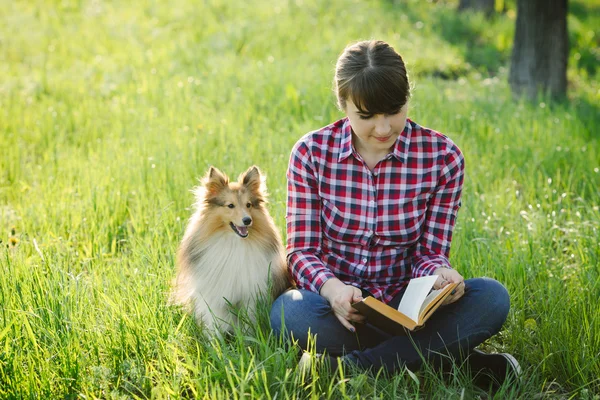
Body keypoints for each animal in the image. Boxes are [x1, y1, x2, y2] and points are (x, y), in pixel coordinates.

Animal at [173, 164, 290, 332]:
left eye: (248, 204)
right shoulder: (213, 296)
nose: (247, 220)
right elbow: (215, 323)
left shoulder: (250, 294)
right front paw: (215, 339)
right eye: (230, 205)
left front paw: (248, 337)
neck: (233, 242)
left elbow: (249, 321)